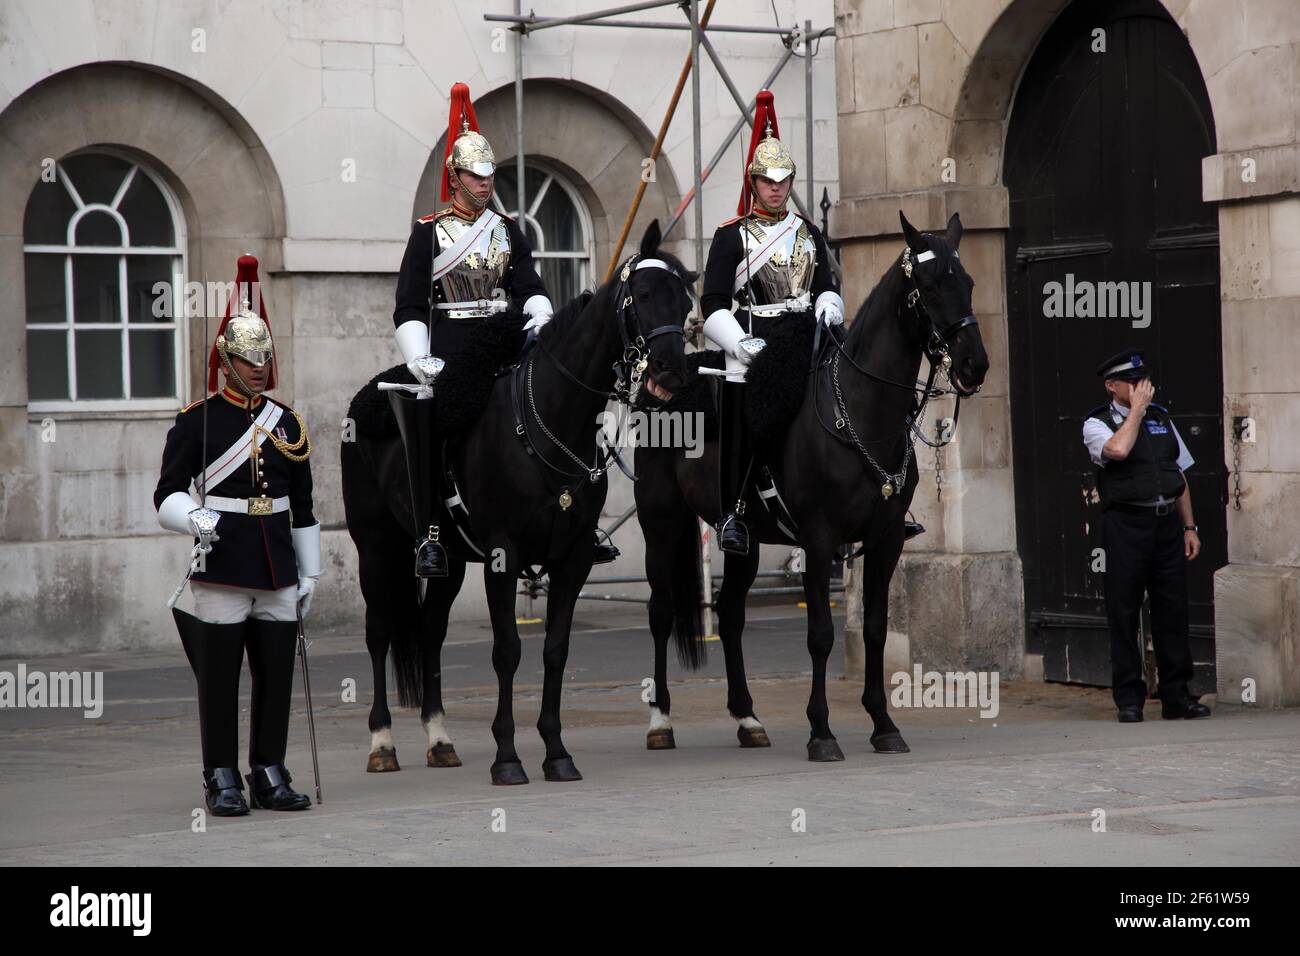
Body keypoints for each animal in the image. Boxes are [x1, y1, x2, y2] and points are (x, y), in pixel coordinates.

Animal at [340, 222, 696, 785]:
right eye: (640, 296)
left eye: (684, 301)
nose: (671, 373)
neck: (552, 419)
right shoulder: (503, 556)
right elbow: (507, 651)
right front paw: (507, 756)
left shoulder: (572, 558)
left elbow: (555, 650)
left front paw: (556, 751)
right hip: (376, 547)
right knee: (379, 633)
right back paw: (382, 743)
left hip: (450, 559)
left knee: (430, 630)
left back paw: (439, 738)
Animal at [634, 210, 987, 764]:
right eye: (929, 285)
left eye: (967, 282)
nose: (975, 364)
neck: (859, 412)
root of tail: (665, 379)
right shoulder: (820, 540)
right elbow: (820, 634)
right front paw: (821, 731)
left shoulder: (885, 540)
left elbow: (876, 628)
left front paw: (883, 724)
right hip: (661, 521)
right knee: (661, 611)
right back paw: (660, 722)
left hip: (746, 541)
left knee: (730, 615)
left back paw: (748, 719)